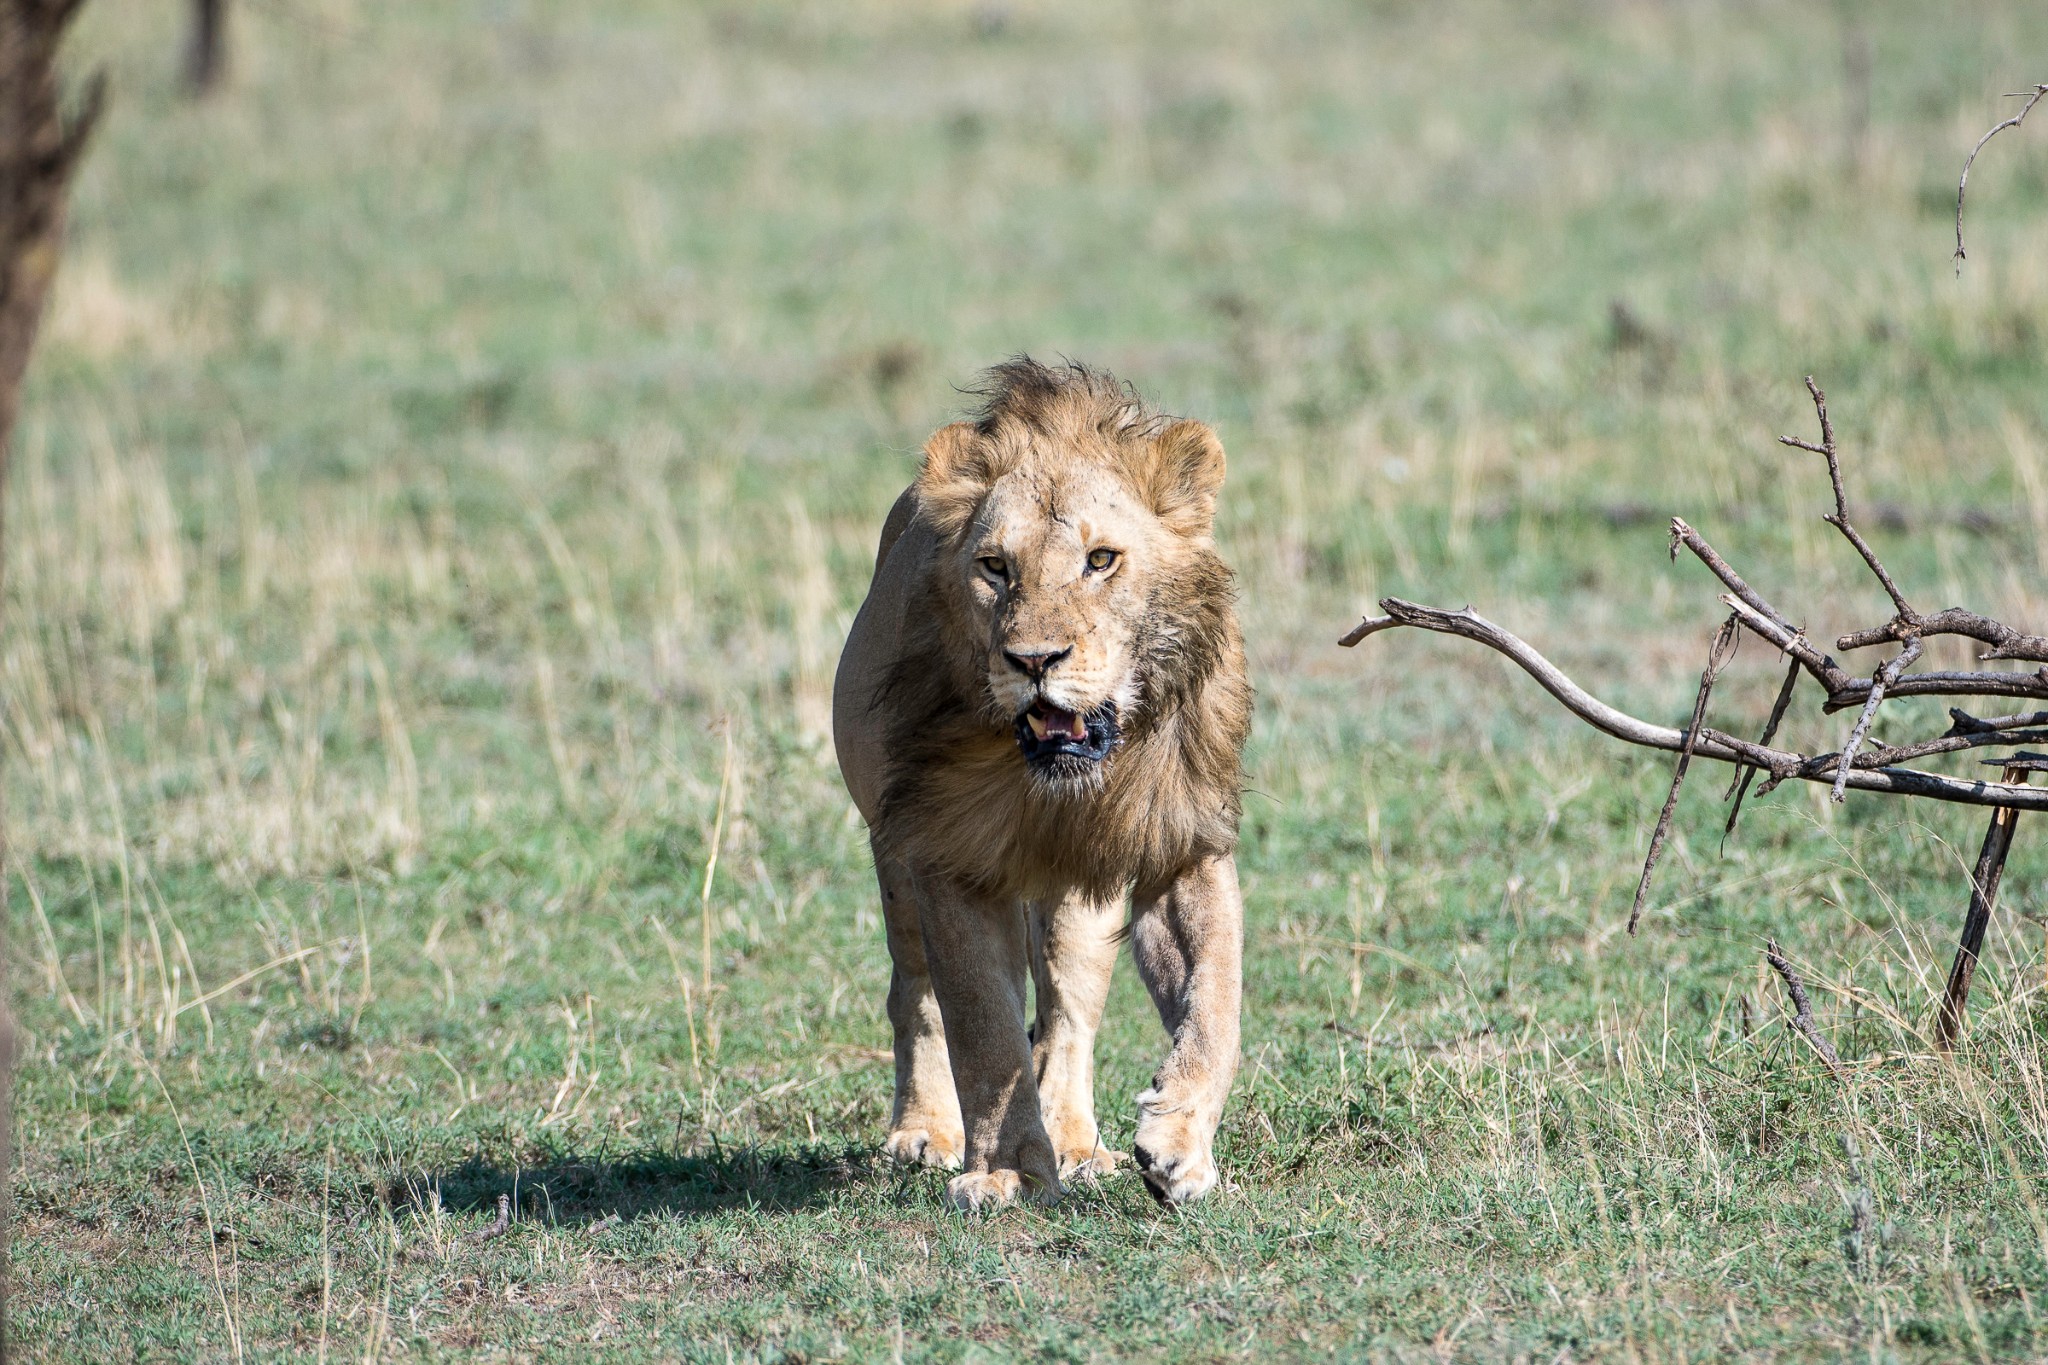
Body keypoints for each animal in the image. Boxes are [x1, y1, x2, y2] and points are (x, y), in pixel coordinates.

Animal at [827, 358, 1245, 1211]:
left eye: (1101, 560)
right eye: (996, 567)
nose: (1035, 659)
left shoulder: (1181, 838)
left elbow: (1219, 999)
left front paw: (1179, 1143)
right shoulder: (947, 851)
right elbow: (984, 1030)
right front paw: (1009, 1170)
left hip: (1079, 896)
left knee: (1066, 1019)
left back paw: (1079, 1142)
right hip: (894, 854)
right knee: (915, 991)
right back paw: (925, 1131)